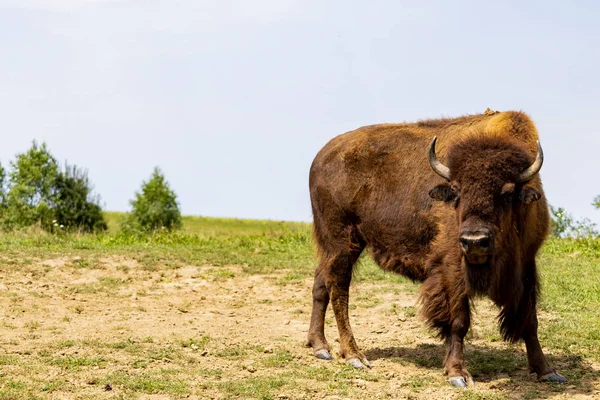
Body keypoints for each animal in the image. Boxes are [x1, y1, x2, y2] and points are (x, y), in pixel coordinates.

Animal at [308, 110, 564, 388]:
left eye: (506, 193)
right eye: (457, 191)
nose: (475, 241)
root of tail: (321, 156)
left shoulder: (526, 264)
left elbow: (530, 321)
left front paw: (548, 371)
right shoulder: (451, 267)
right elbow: (459, 321)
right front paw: (457, 374)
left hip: (335, 248)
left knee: (321, 283)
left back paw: (320, 347)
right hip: (342, 241)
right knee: (339, 291)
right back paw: (354, 356)